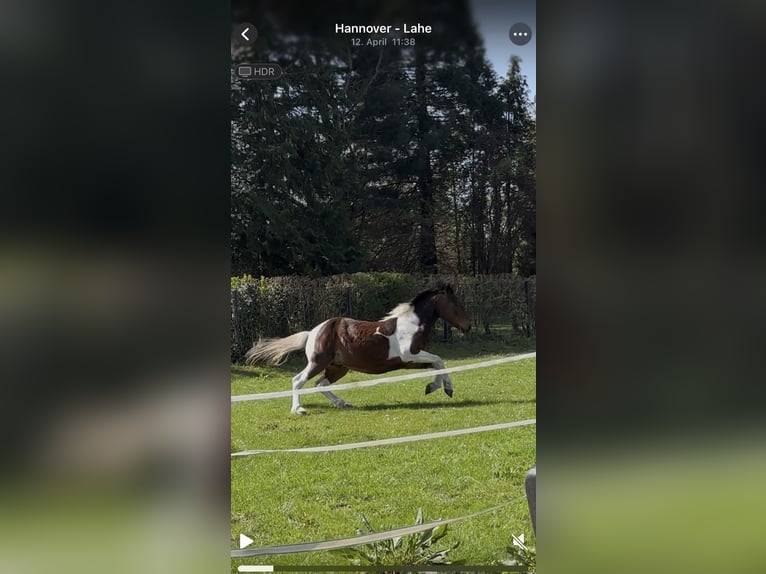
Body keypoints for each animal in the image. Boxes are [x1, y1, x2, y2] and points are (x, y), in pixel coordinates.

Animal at [244, 283, 471, 414]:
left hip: (338, 367)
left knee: (320, 384)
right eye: (456, 304)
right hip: (318, 362)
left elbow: (438, 364)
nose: (467, 326)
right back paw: (298, 409)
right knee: (298, 380)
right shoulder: (410, 355)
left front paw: (438, 388)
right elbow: (439, 359)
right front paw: (442, 388)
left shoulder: (412, 361)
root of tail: (313, 332)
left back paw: (342, 403)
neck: (413, 324)